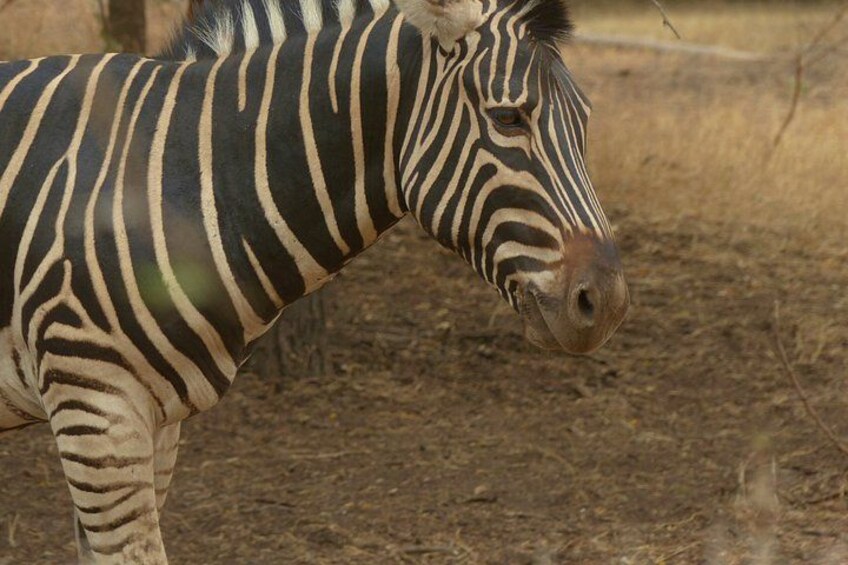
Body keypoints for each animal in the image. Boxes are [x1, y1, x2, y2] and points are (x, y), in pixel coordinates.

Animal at [0, 0, 630, 561]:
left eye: (585, 122)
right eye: (508, 118)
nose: (608, 304)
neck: (183, 185)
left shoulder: (156, 424)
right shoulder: (94, 409)